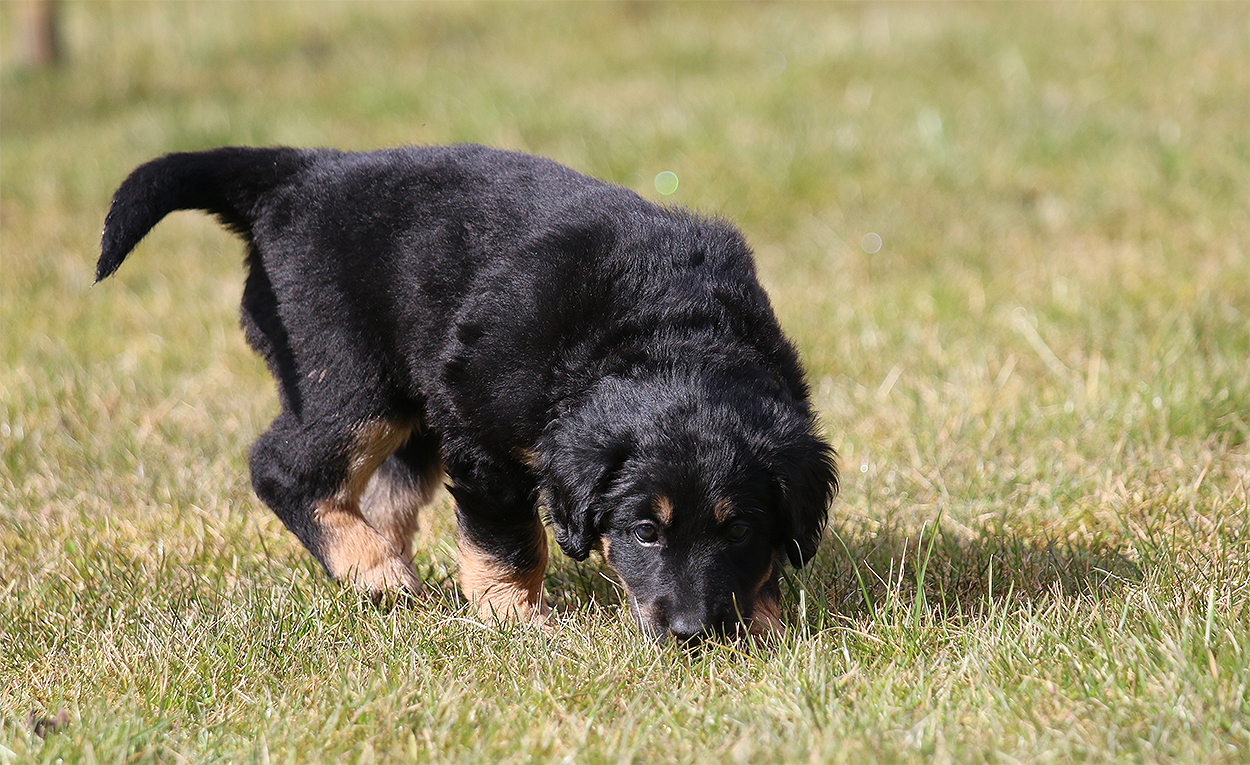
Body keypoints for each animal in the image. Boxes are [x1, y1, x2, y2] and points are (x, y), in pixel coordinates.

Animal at [98, 144, 838, 641]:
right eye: (645, 532)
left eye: (738, 527)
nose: (694, 633)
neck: (665, 331)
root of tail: (301, 175)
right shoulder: (480, 432)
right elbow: (509, 538)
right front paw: (518, 616)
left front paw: (766, 616)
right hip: (351, 380)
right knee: (282, 466)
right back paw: (375, 572)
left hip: (408, 402)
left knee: (386, 491)